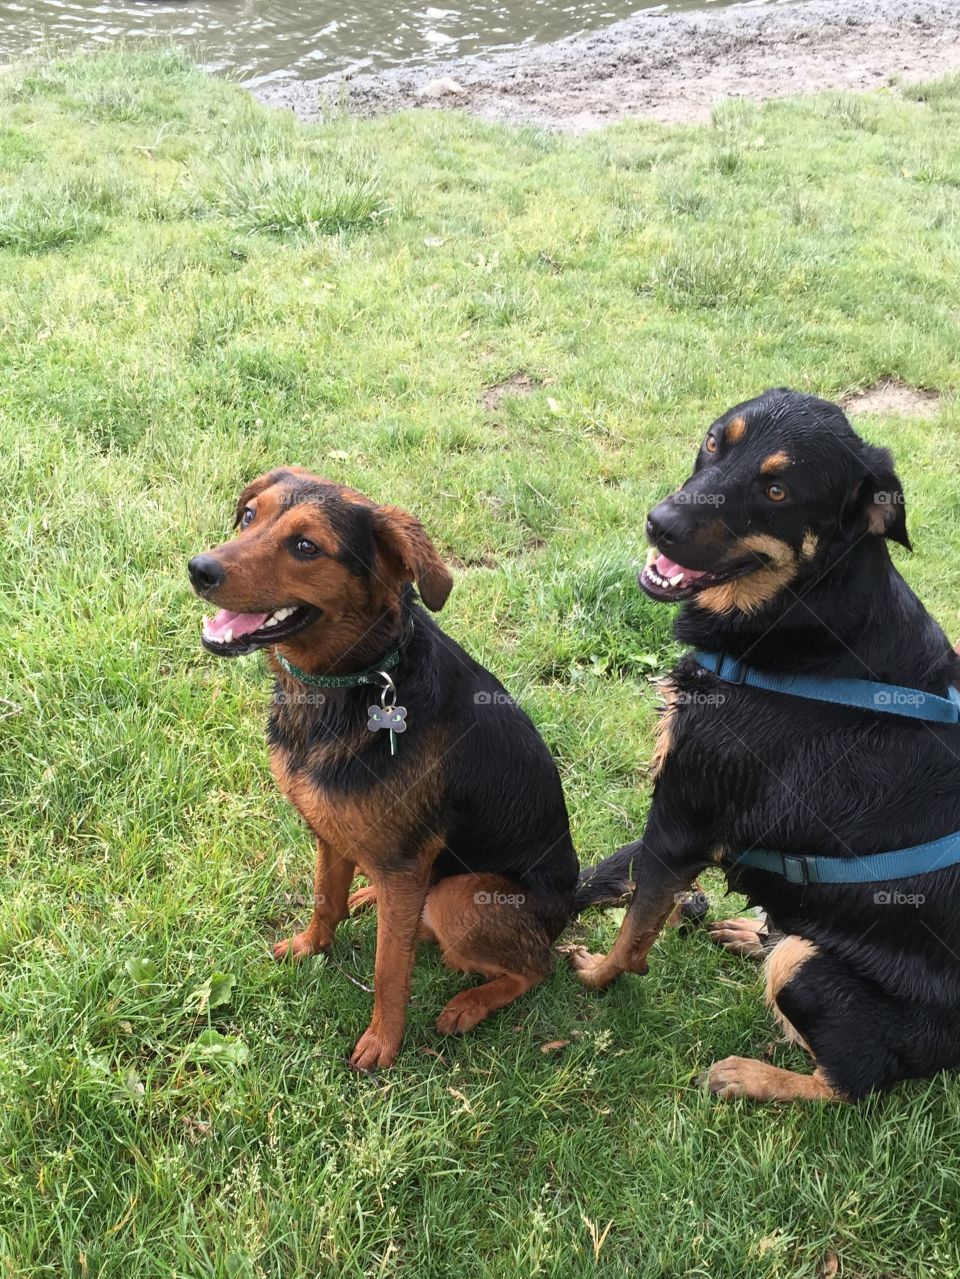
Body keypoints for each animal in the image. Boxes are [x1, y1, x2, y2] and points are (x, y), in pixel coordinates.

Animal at [567, 386, 960, 1099]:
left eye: (777, 491)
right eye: (714, 442)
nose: (659, 524)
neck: (802, 611)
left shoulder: (682, 818)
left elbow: (633, 927)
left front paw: (595, 975)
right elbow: (605, 882)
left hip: (810, 966)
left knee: (849, 1080)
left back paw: (749, 1075)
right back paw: (750, 932)